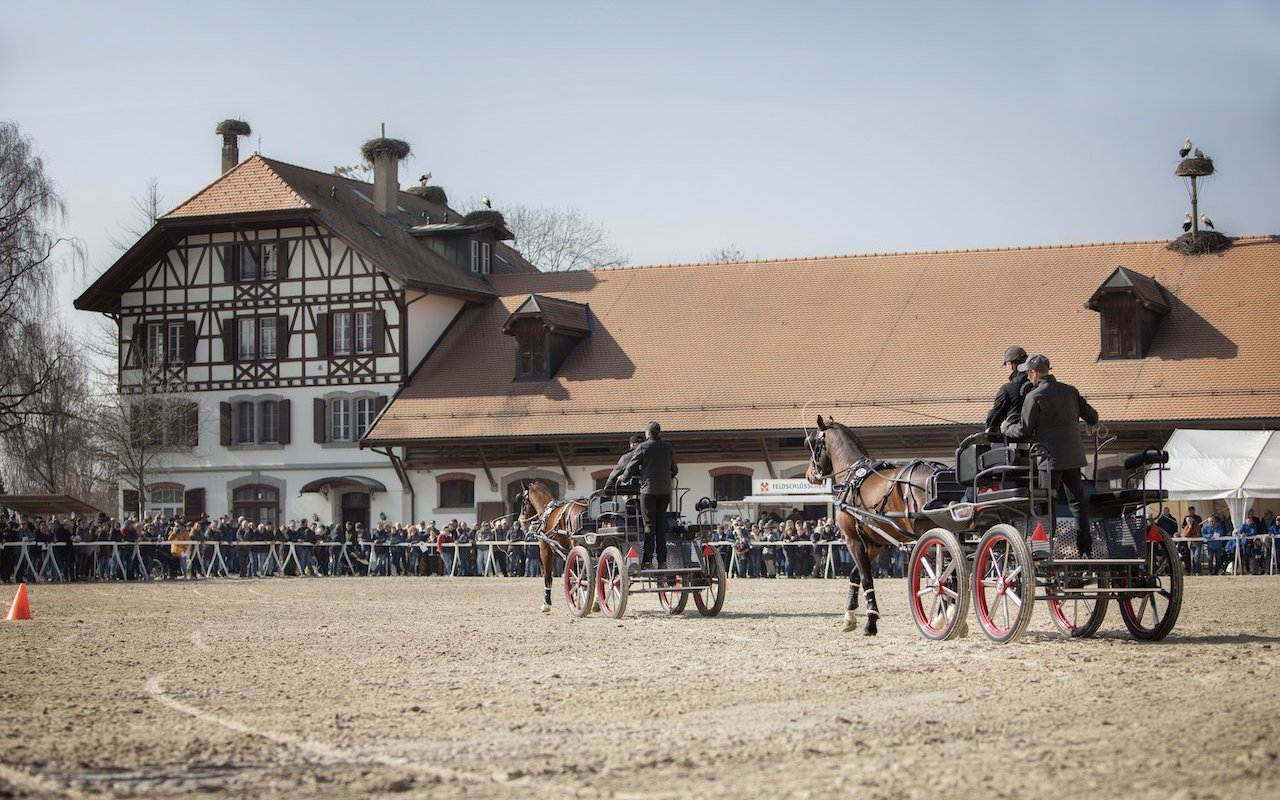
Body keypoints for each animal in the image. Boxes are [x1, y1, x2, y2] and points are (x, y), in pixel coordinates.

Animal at [514, 481, 588, 611]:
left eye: (523, 501)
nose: (521, 520)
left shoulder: (545, 549)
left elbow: (548, 576)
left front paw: (546, 603)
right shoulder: (568, 551)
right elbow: (572, 575)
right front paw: (575, 598)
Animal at [808, 414, 942, 632]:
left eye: (812, 442)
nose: (809, 474)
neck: (852, 476)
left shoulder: (852, 539)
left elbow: (865, 578)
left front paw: (871, 621)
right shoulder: (874, 544)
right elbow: (854, 575)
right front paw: (849, 616)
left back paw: (940, 617)